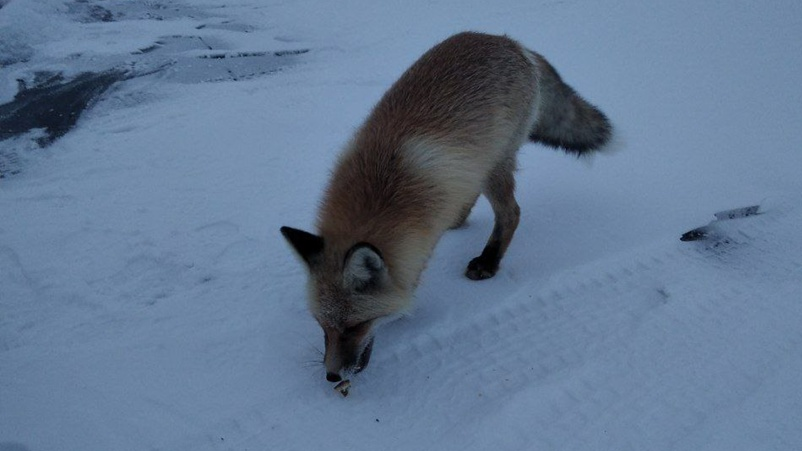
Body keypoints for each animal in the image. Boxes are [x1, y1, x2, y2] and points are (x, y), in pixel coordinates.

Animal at [278, 31, 608, 384]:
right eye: (321, 325)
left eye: (356, 326)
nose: (332, 376)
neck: (380, 189)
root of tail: (508, 40)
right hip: (479, 164)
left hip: (495, 164)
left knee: (511, 214)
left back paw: (488, 262)